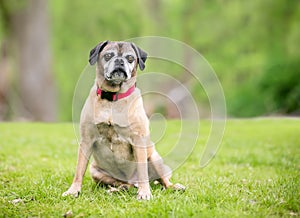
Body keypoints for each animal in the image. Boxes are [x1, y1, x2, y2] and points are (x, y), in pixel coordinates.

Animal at [62, 41, 185, 201]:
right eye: (108, 55)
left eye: (130, 58)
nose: (120, 61)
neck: (113, 98)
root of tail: (132, 181)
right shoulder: (86, 140)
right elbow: (79, 170)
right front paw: (73, 191)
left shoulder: (139, 141)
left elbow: (143, 172)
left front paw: (145, 193)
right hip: (96, 171)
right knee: (122, 184)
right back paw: (119, 189)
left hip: (154, 158)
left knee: (162, 180)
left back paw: (173, 187)